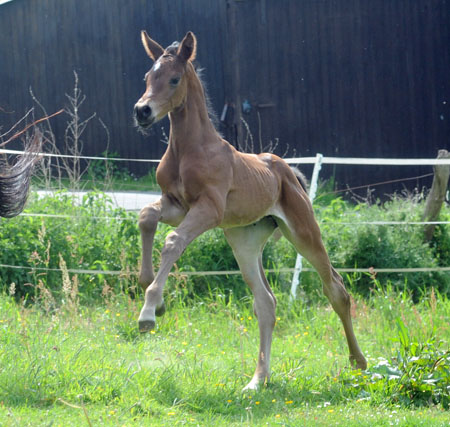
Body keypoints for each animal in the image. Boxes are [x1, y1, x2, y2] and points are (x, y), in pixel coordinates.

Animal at [134, 30, 366, 392]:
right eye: (147, 76)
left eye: (173, 79)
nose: (142, 111)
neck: (191, 149)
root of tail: (289, 172)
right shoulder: (176, 205)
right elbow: (146, 216)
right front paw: (154, 298)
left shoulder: (209, 209)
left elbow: (172, 242)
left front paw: (148, 312)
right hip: (244, 240)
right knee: (266, 303)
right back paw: (258, 380)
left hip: (304, 232)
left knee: (336, 290)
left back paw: (358, 363)